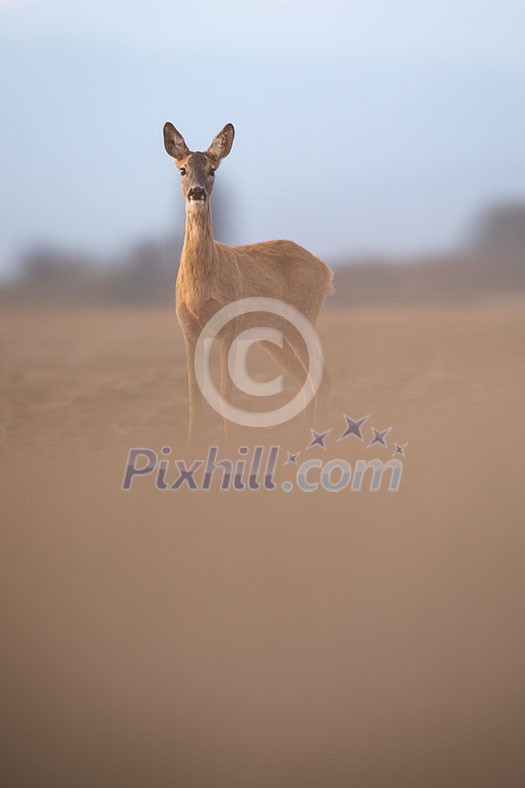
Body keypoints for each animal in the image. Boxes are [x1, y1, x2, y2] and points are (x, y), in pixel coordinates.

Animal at [163, 123, 332, 444]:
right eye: (182, 169)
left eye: (212, 169)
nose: (196, 191)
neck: (200, 289)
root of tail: (325, 269)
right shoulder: (188, 330)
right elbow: (193, 398)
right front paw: (189, 447)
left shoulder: (229, 325)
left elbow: (226, 394)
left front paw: (228, 447)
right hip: (272, 334)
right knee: (304, 377)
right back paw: (303, 438)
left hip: (304, 317)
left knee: (321, 377)